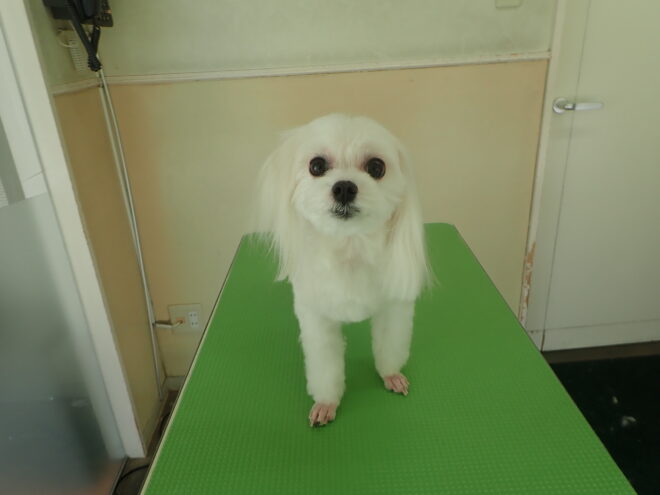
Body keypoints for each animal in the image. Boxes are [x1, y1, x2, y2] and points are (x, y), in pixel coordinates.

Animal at [256, 114, 429, 426]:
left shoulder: (395, 309)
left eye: (376, 167)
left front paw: (391, 374)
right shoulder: (316, 318)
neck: (351, 248)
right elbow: (325, 366)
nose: (345, 187)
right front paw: (327, 402)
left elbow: (390, 345)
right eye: (316, 166)